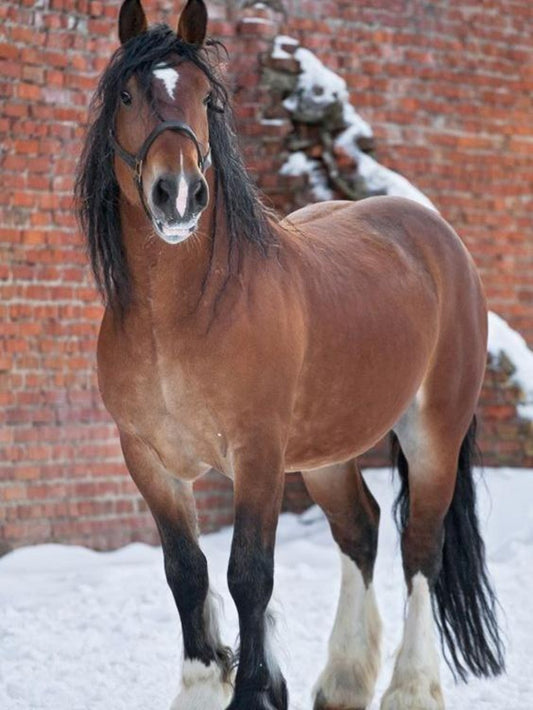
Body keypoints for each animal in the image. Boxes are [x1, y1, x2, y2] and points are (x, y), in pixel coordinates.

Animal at [75, 1, 505, 708]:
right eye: (129, 95)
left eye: (209, 100)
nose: (178, 195)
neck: (180, 316)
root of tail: (440, 238)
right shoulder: (147, 459)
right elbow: (186, 572)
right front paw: (205, 683)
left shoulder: (258, 455)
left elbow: (249, 574)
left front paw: (252, 690)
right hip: (327, 453)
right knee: (360, 529)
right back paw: (342, 681)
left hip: (432, 434)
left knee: (422, 548)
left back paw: (410, 686)